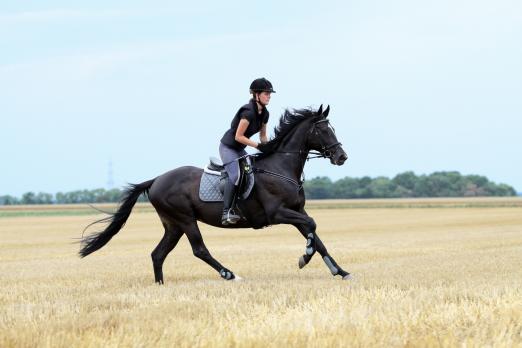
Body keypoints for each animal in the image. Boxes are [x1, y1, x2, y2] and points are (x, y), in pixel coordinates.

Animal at [80, 105, 350, 282]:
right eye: (323, 131)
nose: (342, 157)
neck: (280, 167)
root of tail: (156, 179)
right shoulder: (278, 213)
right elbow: (312, 226)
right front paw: (304, 257)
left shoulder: (296, 210)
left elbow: (317, 237)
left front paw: (340, 271)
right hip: (185, 219)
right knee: (199, 249)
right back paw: (229, 274)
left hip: (173, 225)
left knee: (158, 254)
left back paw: (160, 285)